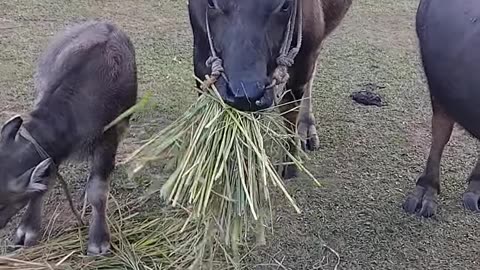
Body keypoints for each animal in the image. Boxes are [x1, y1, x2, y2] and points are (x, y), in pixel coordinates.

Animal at [0, 20, 137, 254]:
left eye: (1, 202)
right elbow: (44, 181)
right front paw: (28, 229)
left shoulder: (107, 140)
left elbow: (98, 191)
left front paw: (98, 240)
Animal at [188, 0, 352, 179]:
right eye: (211, 3)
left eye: (285, 5)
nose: (244, 93)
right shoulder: (200, 52)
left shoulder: (305, 58)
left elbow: (290, 110)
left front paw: (290, 163)